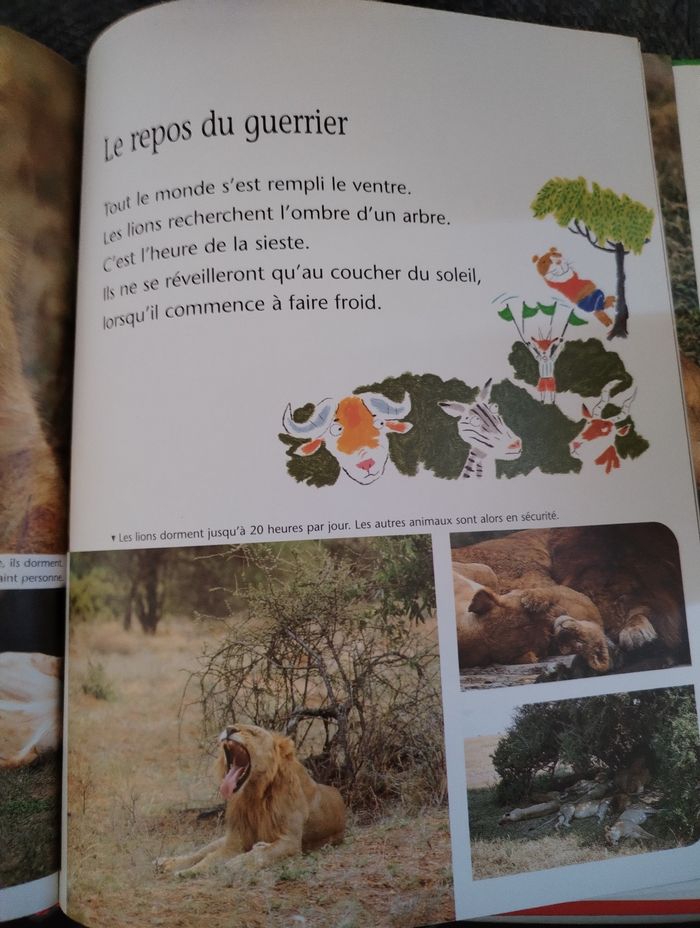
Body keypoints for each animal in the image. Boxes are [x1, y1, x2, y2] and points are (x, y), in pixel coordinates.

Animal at [156, 723, 346, 876]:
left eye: (253, 732)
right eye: (231, 725)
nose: (229, 729)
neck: (253, 796)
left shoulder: (291, 841)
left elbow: (263, 853)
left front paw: (236, 863)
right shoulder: (234, 841)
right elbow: (209, 858)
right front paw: (188, 872)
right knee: (200, 852)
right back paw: (166, 862)